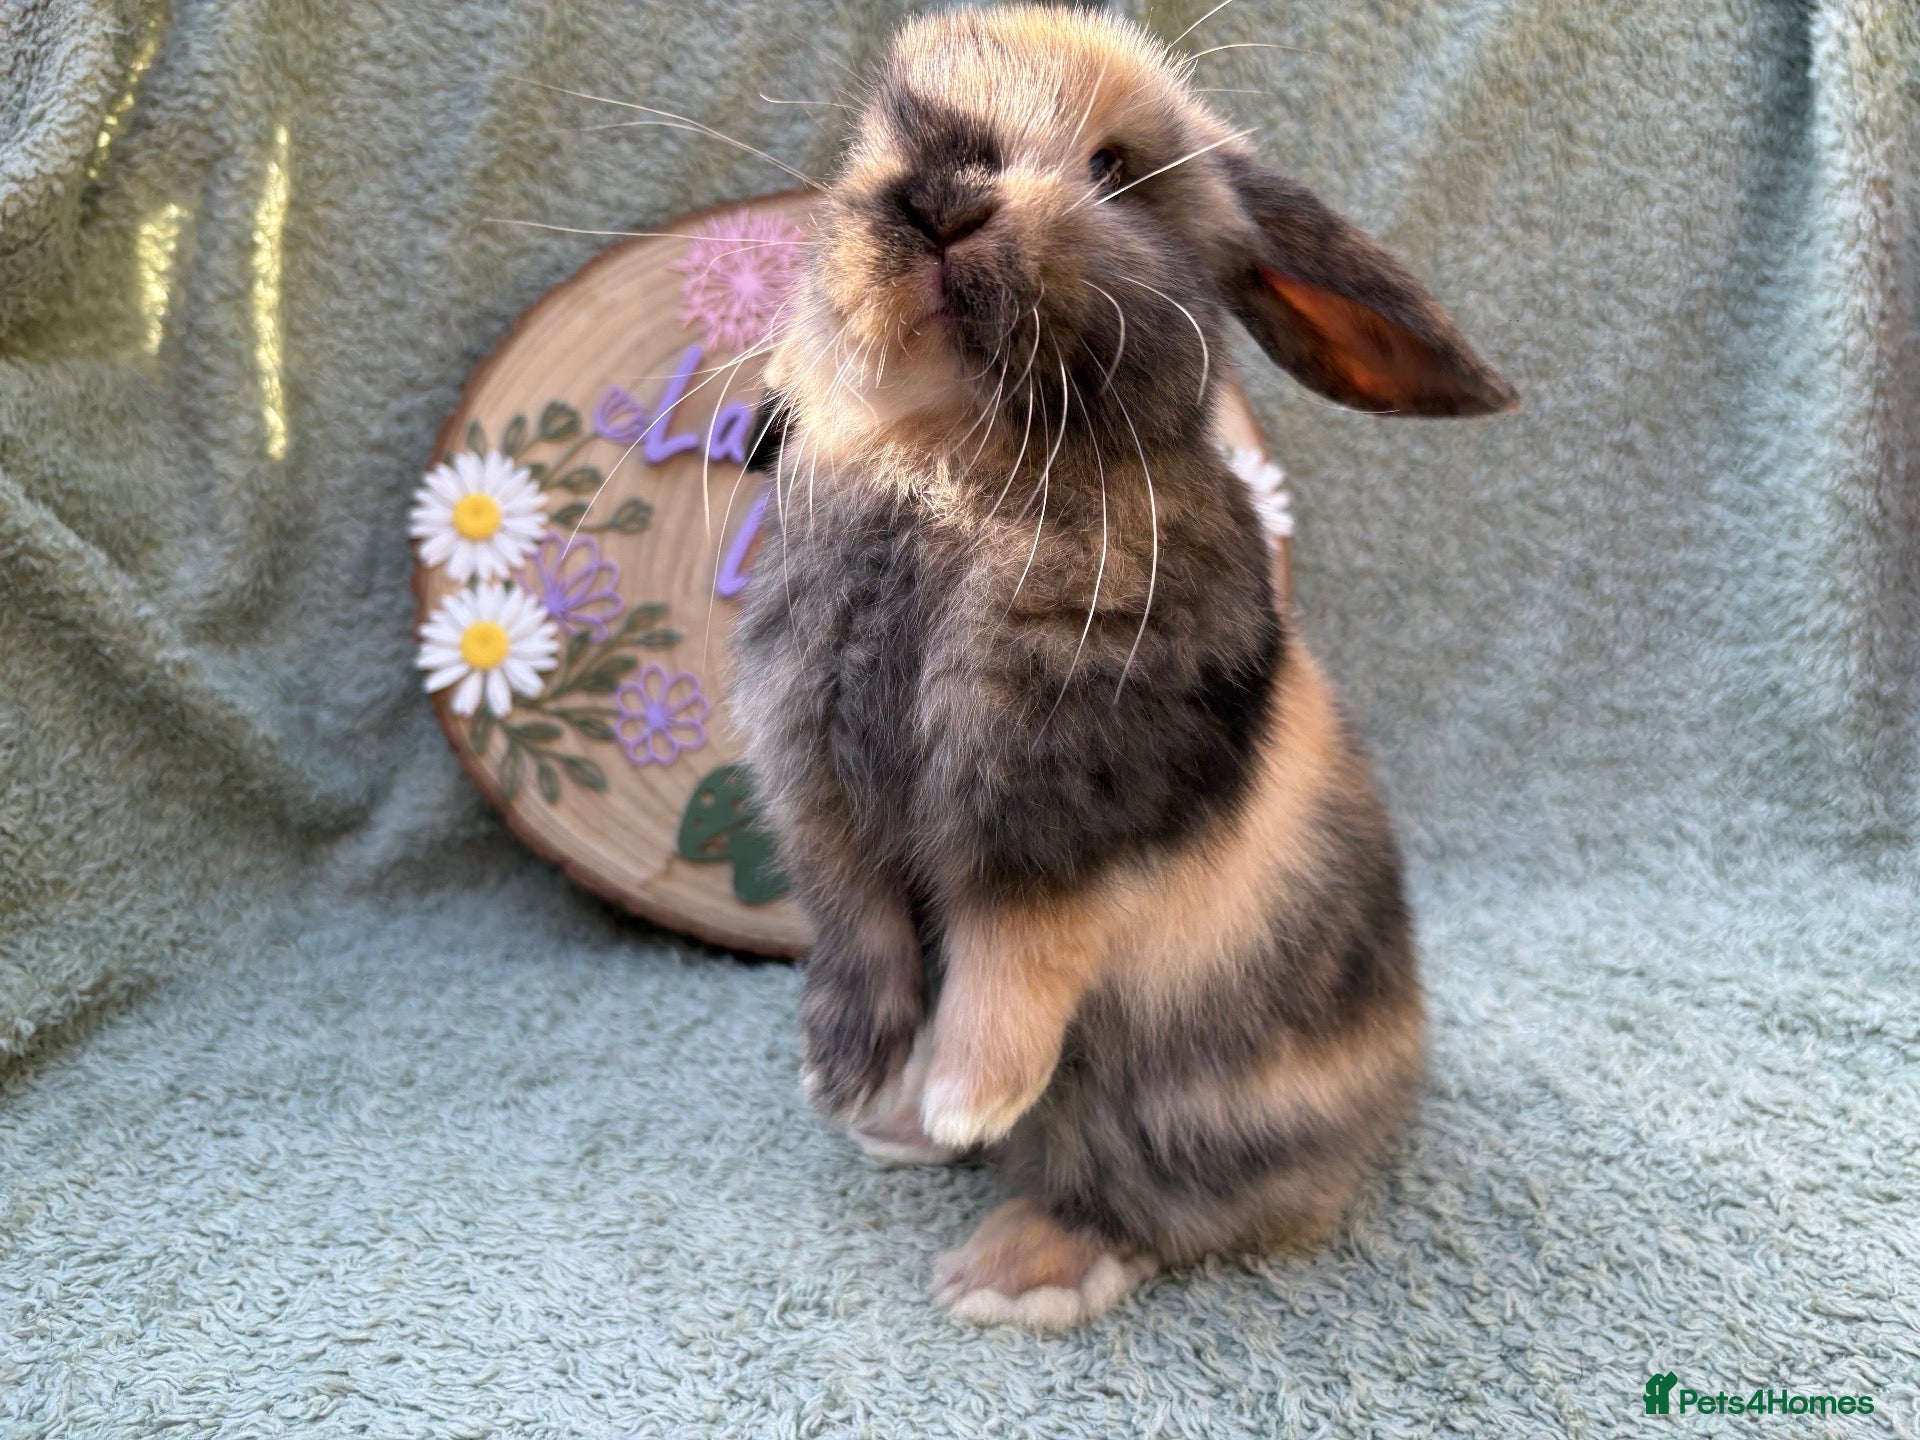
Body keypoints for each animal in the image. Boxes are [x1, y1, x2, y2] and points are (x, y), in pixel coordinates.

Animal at [729, 4, 1516, 1329]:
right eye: (869, 138)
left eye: (1114, 169)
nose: (937, 195)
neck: (949, 457)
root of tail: (1381, 1124)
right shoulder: (819, 790)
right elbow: (859, 927)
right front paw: (846, 1081)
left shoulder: (1066, 801)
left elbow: (1015, 949)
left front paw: (968, 1093)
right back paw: (903, 1139)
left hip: (1175, 1111)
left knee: (1157, 1210)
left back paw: (1007, 1267)